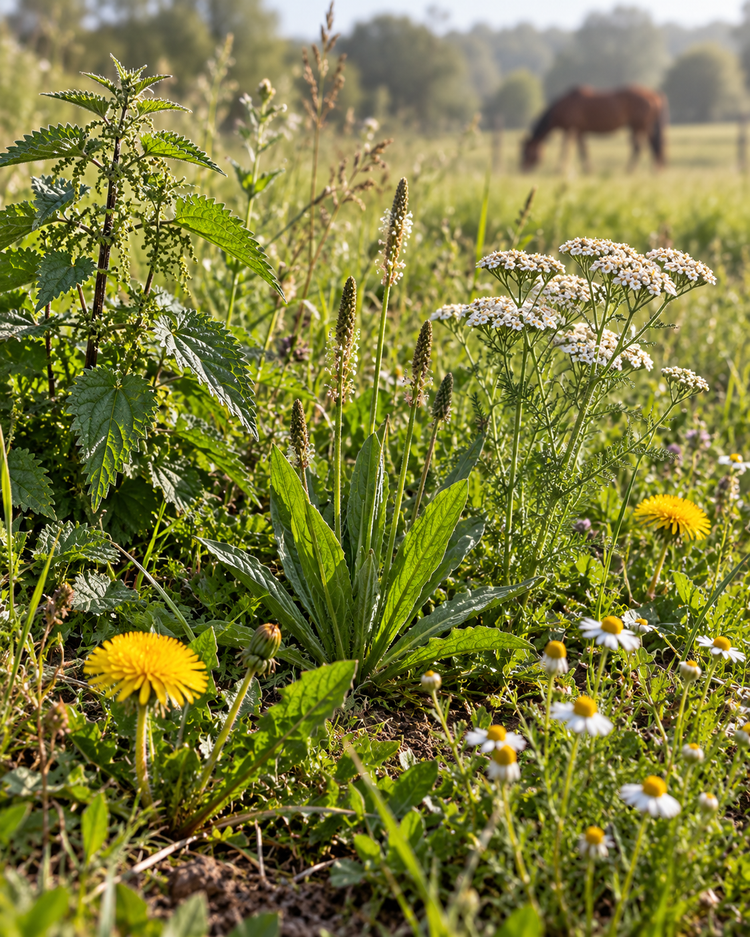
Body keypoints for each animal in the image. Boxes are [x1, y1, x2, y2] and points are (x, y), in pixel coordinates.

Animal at [521, 85, 667, 172]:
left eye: (526, 152)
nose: (522, 169)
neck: (565, 105)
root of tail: (655, 95)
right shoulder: (579, 131)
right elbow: (583, 150)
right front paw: (588, 170)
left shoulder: (571, 130)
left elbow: (566, 150)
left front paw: (560, 169)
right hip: (643, 127)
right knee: (653, 146)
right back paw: (654, 169)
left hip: (638, 126)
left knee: (639, 147)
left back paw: (629, 170)